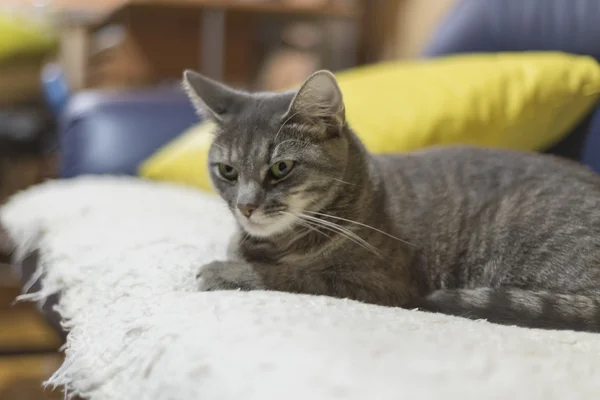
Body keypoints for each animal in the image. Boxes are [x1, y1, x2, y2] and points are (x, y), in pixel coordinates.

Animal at [183, 68, 600, 332]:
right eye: (227, 171)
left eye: (281, 167)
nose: (246, 207)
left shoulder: (381, 285)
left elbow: (292, 276)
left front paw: (223, 271)